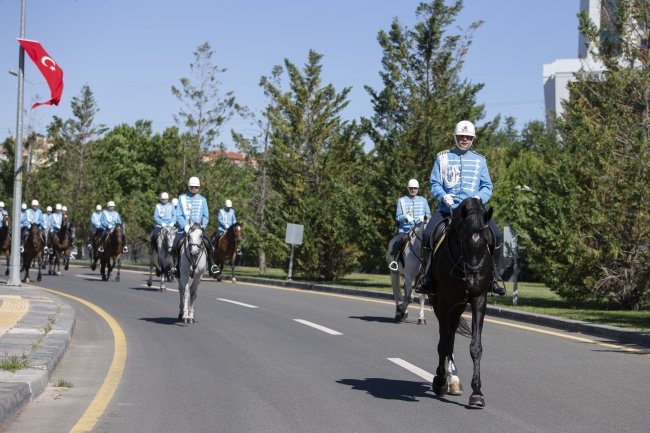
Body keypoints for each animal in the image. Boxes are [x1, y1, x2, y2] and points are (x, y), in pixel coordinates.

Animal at [430, 197, 492, 406]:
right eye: (463, 239)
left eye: (486, 240)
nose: (473, 278)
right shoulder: (444, 302)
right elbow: (442, 343)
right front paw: (440, 381)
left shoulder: (479, 300)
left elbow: (476, 347)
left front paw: (477, 392)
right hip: (440, 302)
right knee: (446, 338)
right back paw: (446, 378)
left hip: (459, 306)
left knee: (452, 333)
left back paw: (454, 380)